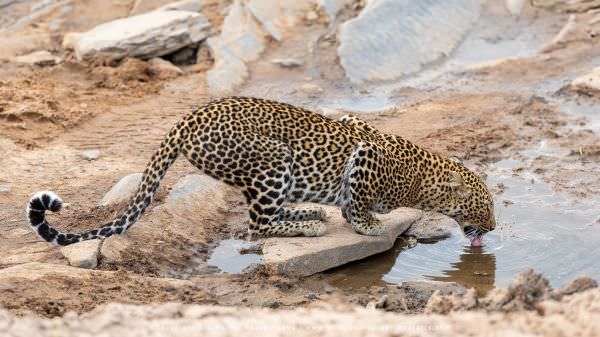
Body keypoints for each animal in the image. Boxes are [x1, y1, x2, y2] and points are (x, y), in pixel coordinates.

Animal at [25, 96, 494, 245]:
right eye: (485, 206)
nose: (491, 229)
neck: (420, 176)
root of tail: (186, 120)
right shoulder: (366, 156)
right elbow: (358, 202)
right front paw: (369, 224)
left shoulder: (355, 124)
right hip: (272, 160)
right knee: (255, 225)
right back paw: (308, 224)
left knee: (264, 216)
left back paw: (308, 213)